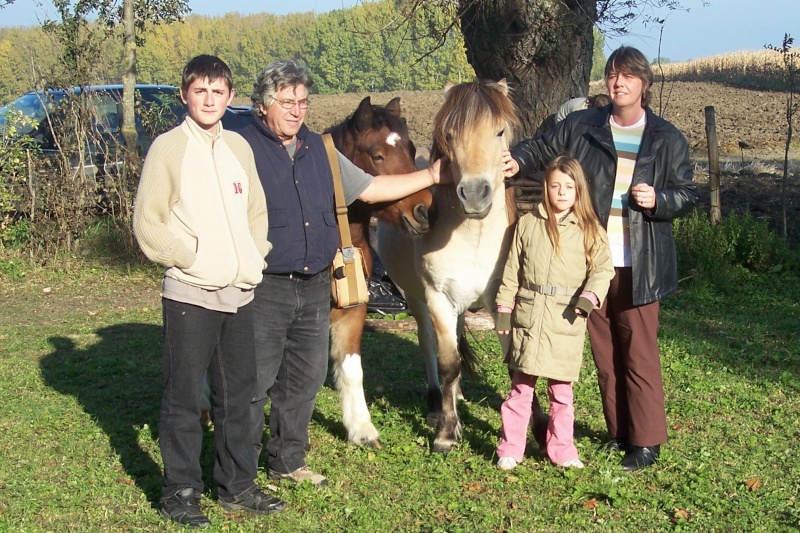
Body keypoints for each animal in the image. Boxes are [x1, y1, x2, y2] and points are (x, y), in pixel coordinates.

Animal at [324, 96, 432, 448]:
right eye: (377, 154)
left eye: (411, 150)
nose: (424, 211)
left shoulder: (352, 308)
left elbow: (351, 367)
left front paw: (361, 428)